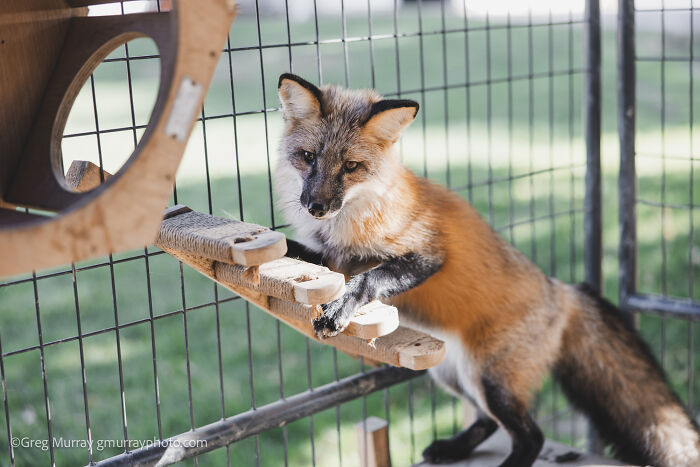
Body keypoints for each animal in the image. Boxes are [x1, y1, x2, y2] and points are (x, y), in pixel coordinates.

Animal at [274, 72, 700, 467]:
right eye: (308, 157)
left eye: (351, 166)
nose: (316, 207)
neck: (352, 218)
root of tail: (562, 292)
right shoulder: (333, 262)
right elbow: (298, 255)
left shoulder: (425, 254)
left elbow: (369, 277)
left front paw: (339, 308)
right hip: (451, 374)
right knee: (488, 422)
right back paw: (453, 447)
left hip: (489, 381)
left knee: (531, 436)